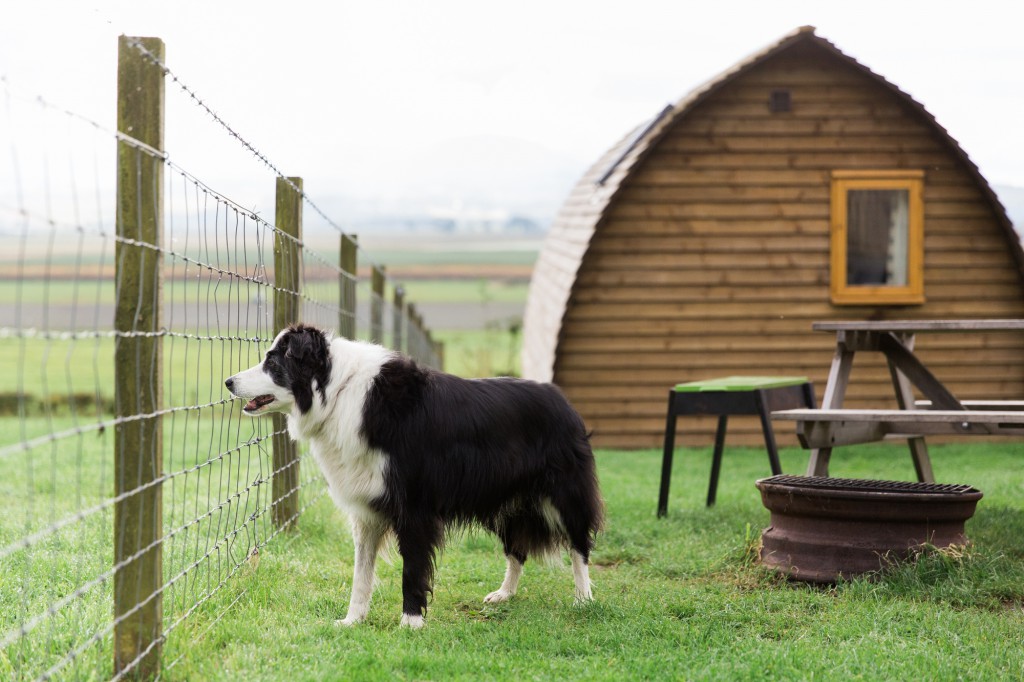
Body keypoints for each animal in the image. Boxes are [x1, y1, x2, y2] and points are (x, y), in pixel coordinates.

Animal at [224, 323, 598, 626]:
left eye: (273, 364)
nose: (228, 382)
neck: (337, 392)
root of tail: (563, 400)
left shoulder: (415, 504)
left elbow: (412, 566)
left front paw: (411, 622)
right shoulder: (367, 508)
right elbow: (361, 572)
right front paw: (352, 621)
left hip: (564, 491)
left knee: (578, 543)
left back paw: (584, 599)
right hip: (504, 500)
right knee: (517, 548)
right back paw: (504, 594)